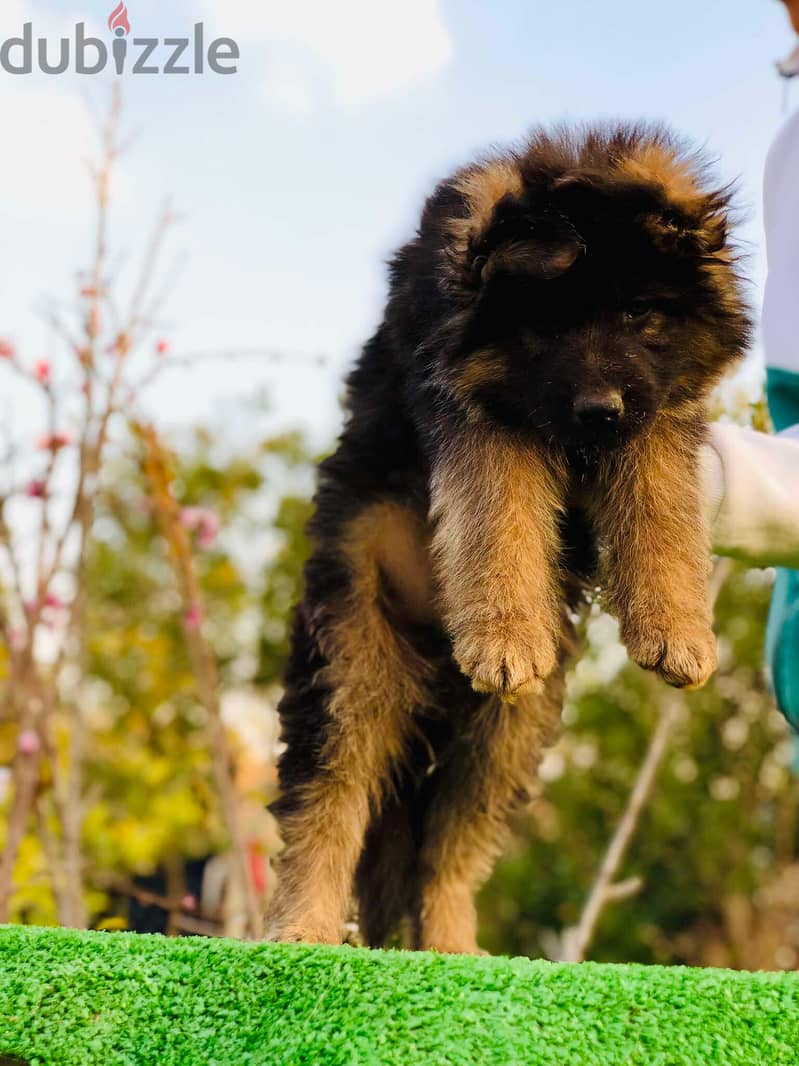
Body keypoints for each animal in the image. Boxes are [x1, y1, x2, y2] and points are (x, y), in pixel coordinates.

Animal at [267, 122, 749, 950]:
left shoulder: (655, 414)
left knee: (447, 851)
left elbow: (661, 499)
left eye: (639, 314)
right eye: (546, 325)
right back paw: (303, 924)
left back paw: (453, 945)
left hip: (507, 735)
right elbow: (502, 514)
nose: (598, 411)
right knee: (330, 802)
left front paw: (677, 624)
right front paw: (504, 632)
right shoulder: (477, 407)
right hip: (352, 667)